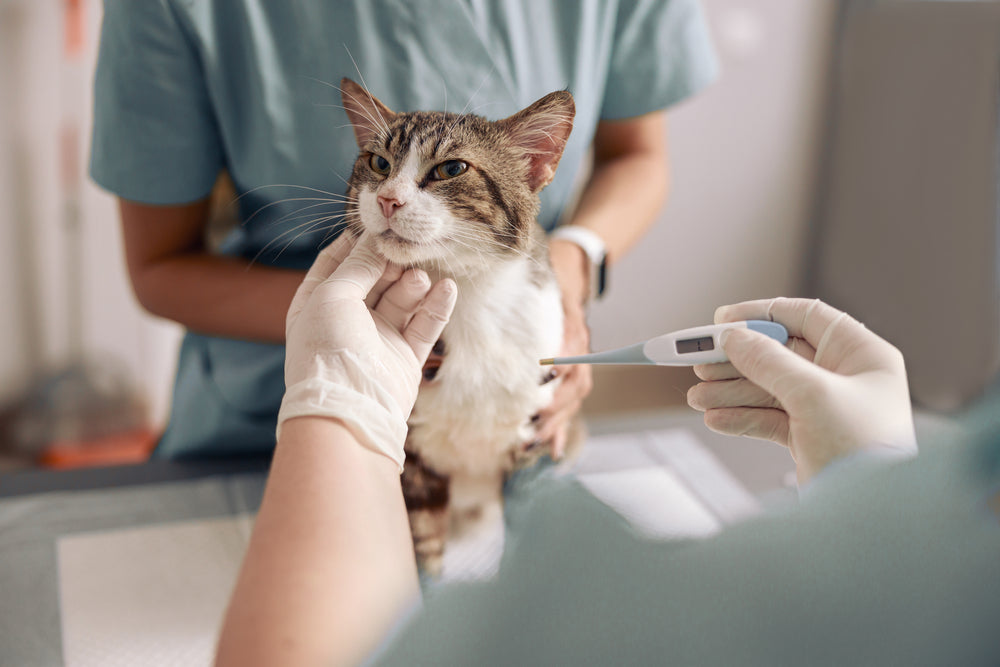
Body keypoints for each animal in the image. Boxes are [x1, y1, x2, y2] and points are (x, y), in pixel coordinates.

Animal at [342, 78, 580, 576]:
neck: (467, 298)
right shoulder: (412, 465)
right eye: (378, 163)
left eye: (452, 168)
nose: (388, 199)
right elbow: (422, 545)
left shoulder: (536, 427)